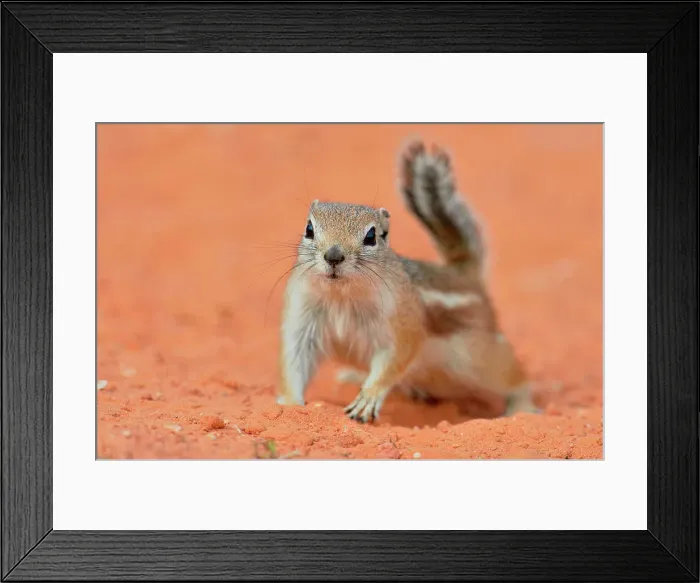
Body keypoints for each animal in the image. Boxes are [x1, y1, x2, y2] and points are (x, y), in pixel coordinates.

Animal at [276, 140, 539, 423]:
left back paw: (523, 407)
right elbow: (294, 361)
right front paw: (289, 401)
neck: (342, 296)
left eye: (371, 236)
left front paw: (368, 397)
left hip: (480, 358)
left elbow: (394, 360)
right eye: (309, 229)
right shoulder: (302, 320)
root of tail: (462, 274)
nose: (333, 256)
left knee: (515, 377)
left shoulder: (403, 324)